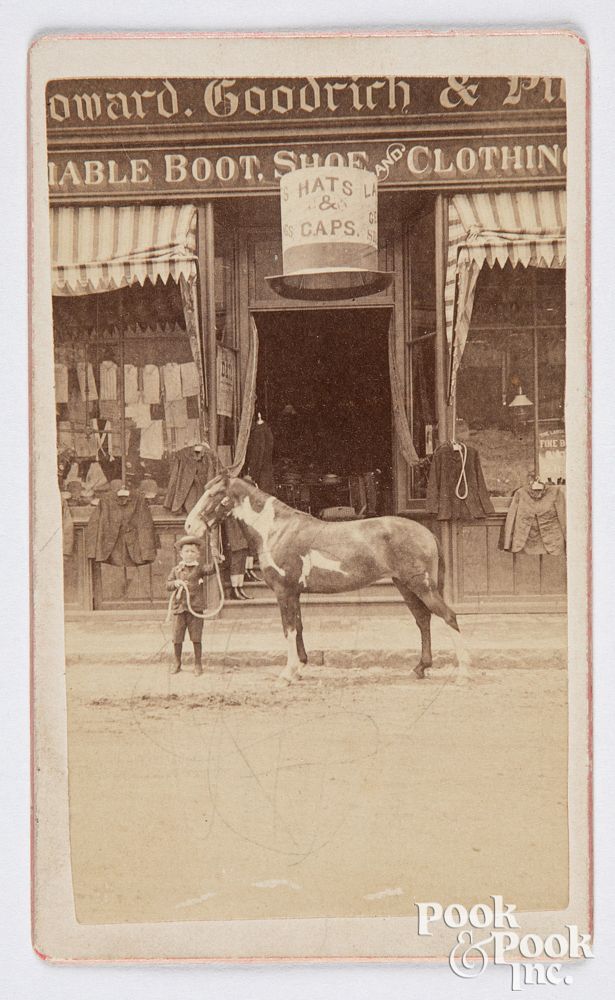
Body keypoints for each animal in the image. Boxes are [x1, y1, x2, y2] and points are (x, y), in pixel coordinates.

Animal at [184, 474, 472, 680]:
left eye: (213, 494)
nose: (189, 525)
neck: (276, 529)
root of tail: (427, 532)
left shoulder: (283, 591)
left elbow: (288, 629)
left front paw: (287, 673)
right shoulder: (294, 592)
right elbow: (298, 627)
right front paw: (300, 667)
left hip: (421, 586)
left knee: (449, 617)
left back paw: (463, 672)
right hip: (405, 586)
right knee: (423, 621)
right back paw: (420, 668)